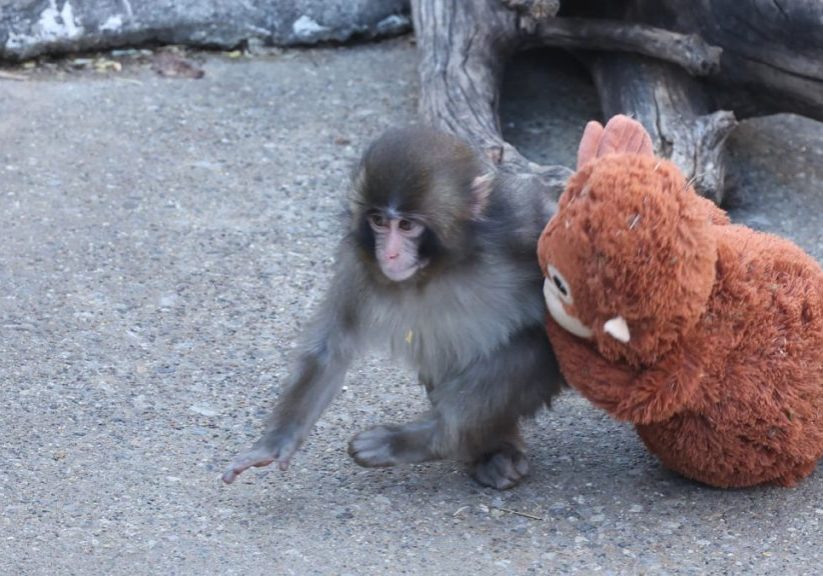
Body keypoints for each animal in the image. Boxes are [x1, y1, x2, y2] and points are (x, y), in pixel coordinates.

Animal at [222, 126, 564, 490]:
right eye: (378, 222)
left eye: (407, 226)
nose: (389, 254)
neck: (443, 266)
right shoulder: (358, 263)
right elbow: (331, 348)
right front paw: (274, 444)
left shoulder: (523, 226)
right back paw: (490, 450)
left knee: (529, 348)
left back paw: (428, 438)